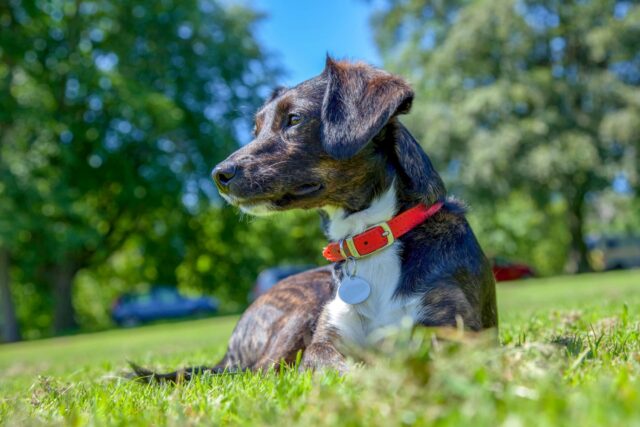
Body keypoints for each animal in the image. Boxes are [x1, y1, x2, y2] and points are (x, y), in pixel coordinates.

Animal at [132, 56, 498, 382]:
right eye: (256, 129)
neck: (370, 236)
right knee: (260, 370)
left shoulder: (458, 333)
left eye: (294, 119)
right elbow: (333, 365)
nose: (219, 174)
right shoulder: (324, 341)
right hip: (305, 305)